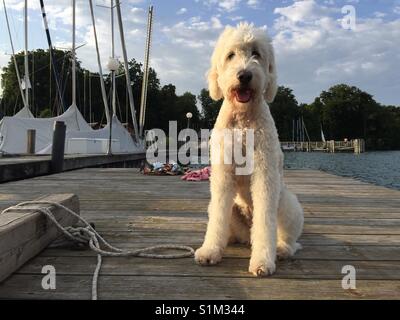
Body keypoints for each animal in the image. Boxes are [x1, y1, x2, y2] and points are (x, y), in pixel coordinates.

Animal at [194, 23, 304, 278]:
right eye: (230, 55)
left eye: (256, 53)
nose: (244, 75)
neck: (243, 119)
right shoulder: (222, 174)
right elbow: (217, 217)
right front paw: (210, 250)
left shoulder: (264, 173)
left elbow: (265, 222)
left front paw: (262, 261)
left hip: (288, 204)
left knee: (290, 240)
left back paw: (281, 249)